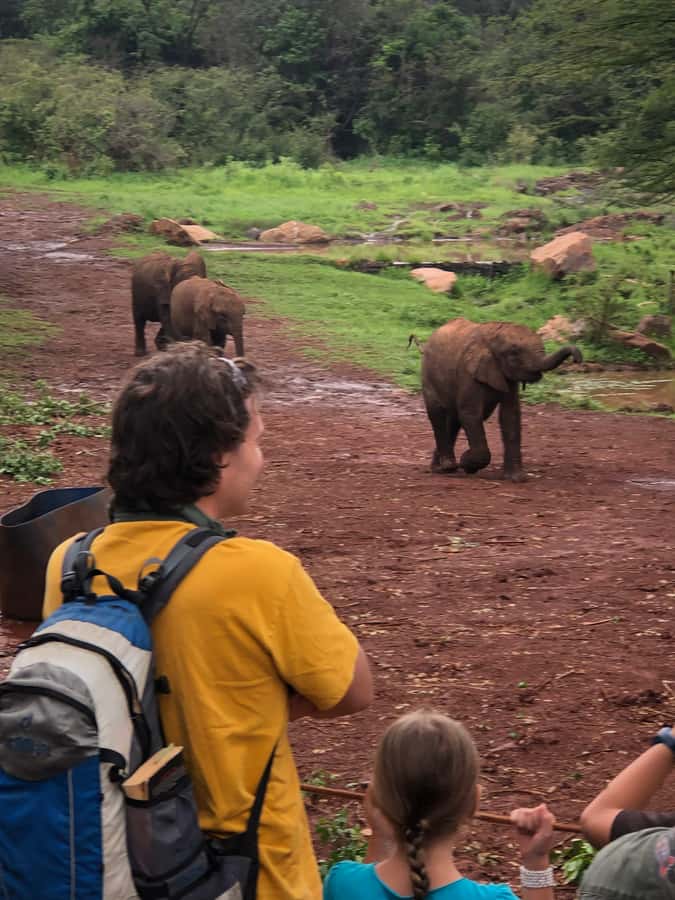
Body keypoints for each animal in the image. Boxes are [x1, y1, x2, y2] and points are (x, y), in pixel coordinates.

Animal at [420, 317, 582, 481]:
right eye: (514, 353)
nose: (577, 360)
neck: (492, 336)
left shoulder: (507, 377)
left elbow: (510, 415)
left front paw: (516, 478)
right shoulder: (468, 372)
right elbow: (470, 414)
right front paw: (466, 464)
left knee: (454, 420)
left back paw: (441, 468)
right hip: (428, 375)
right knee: (438, 415)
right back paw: (448, 466)